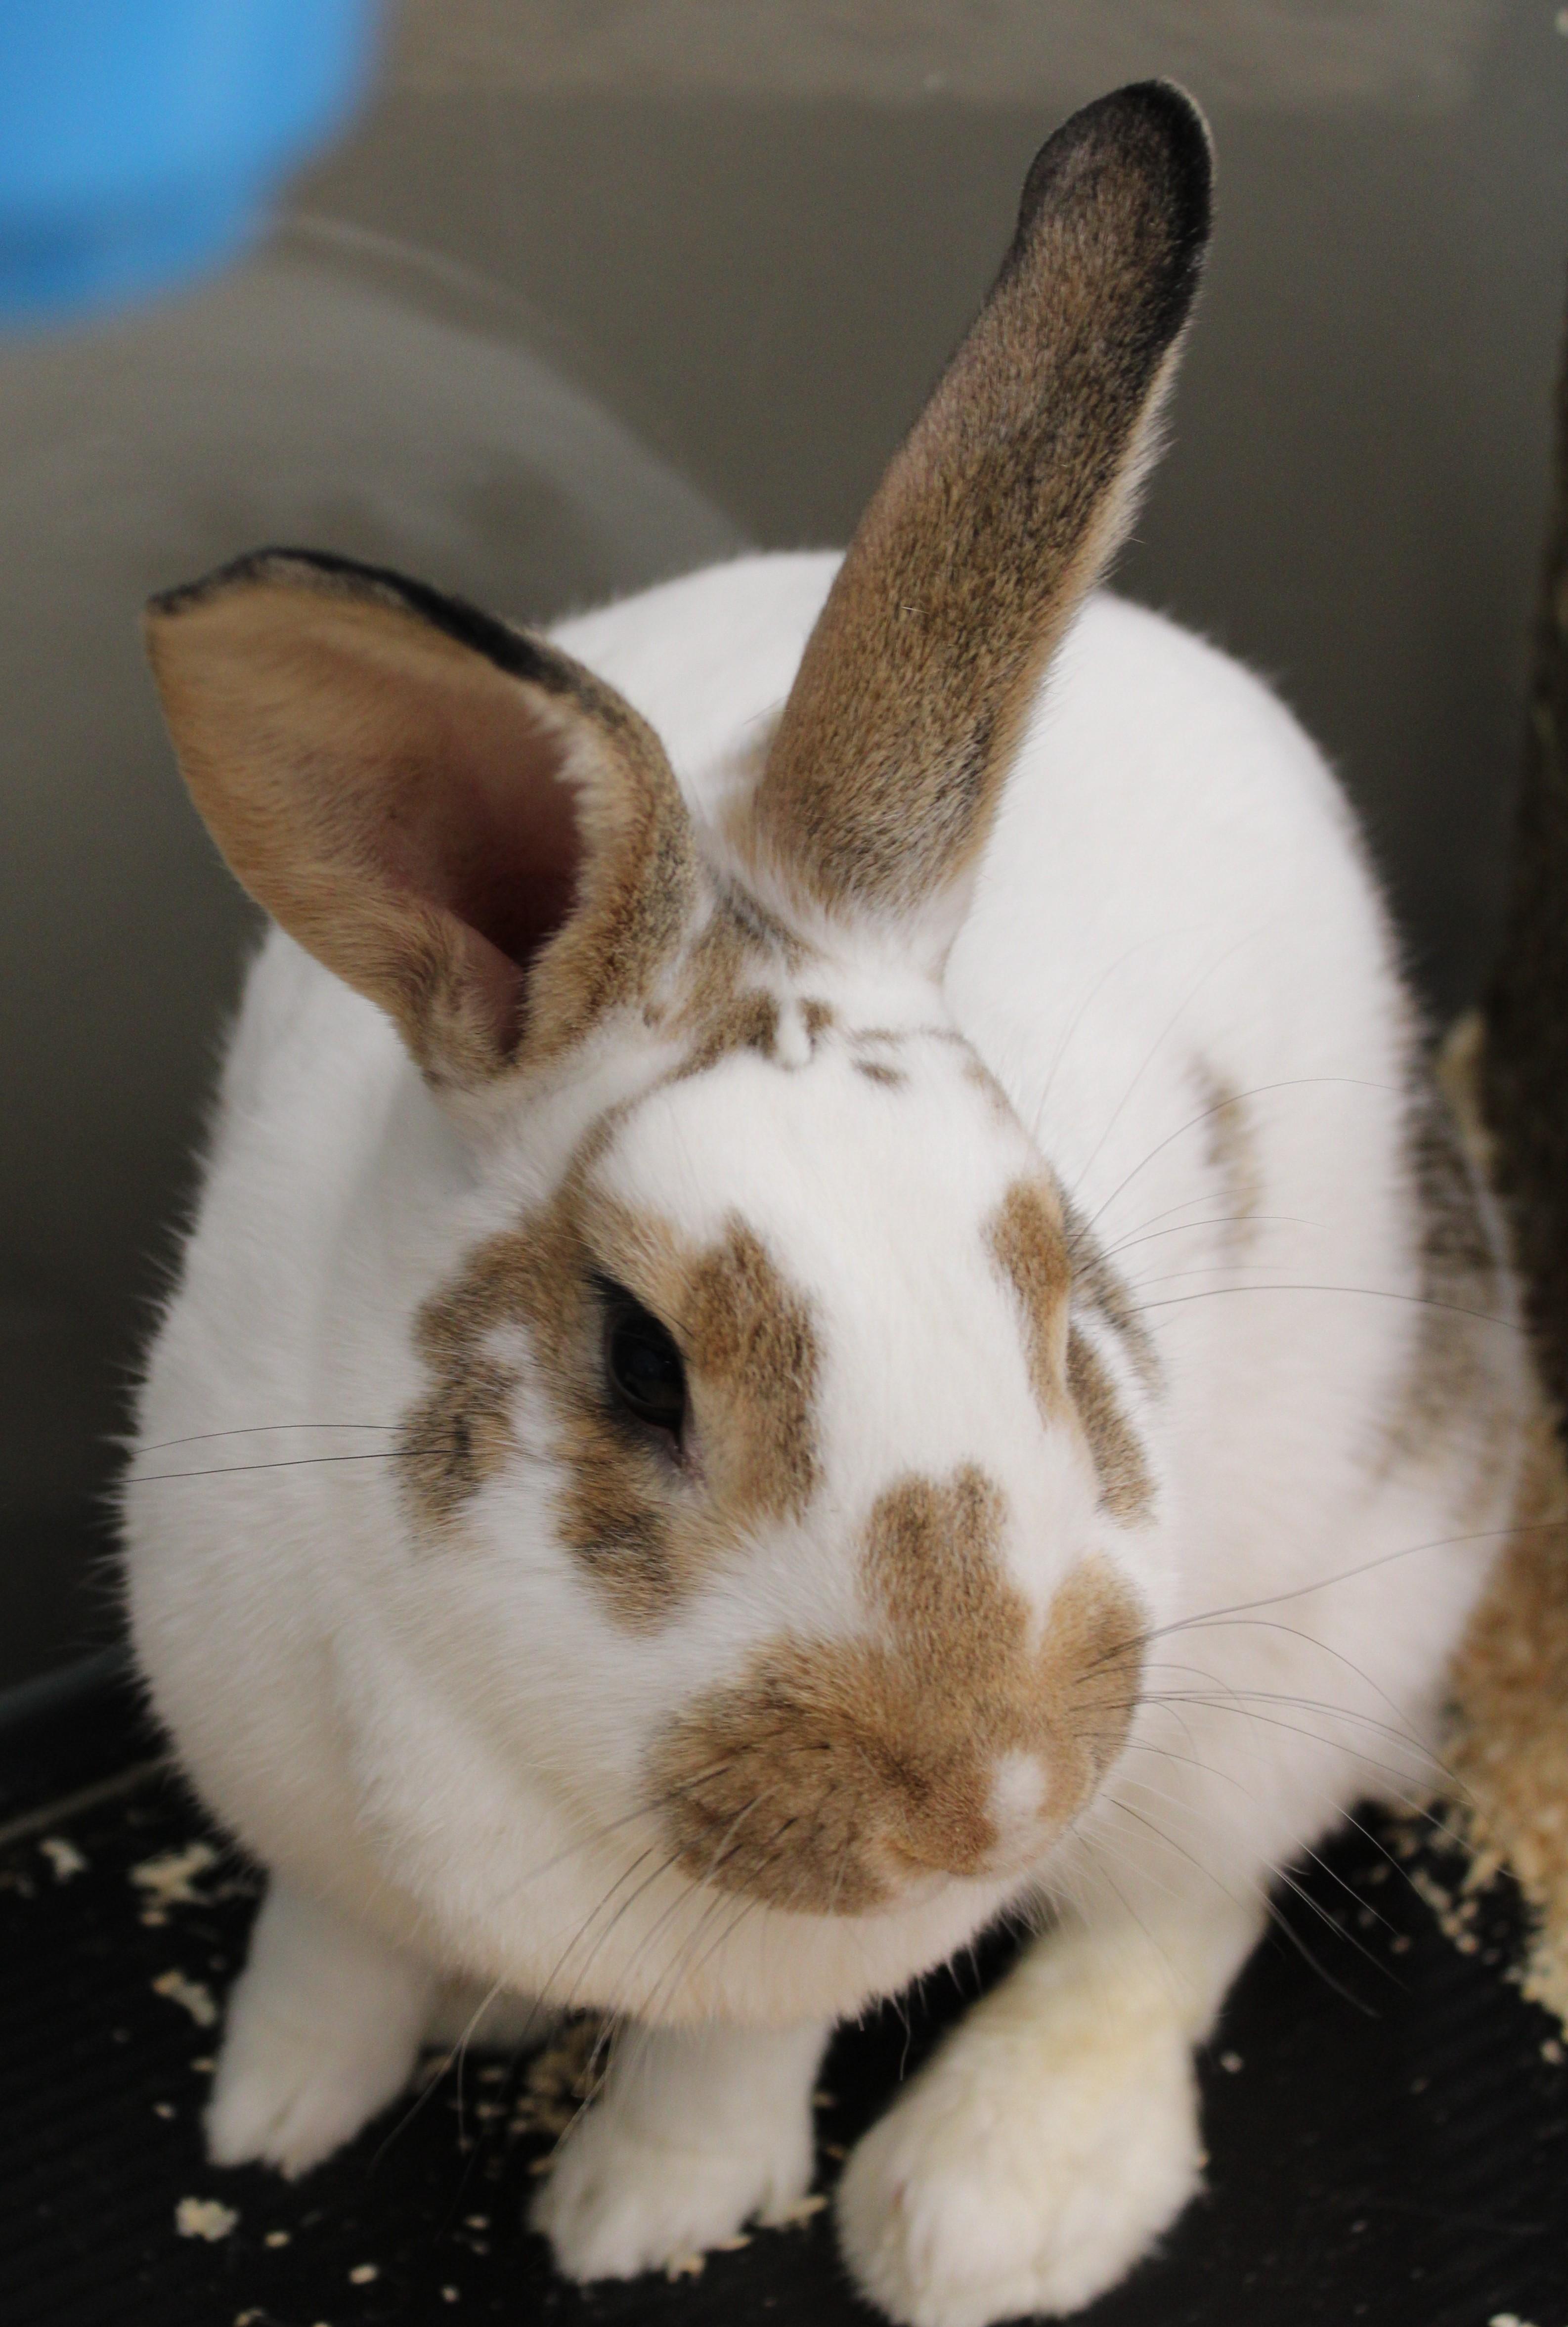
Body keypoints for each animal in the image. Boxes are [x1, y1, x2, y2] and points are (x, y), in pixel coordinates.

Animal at [121, 80, 1535, 2327]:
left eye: (1069, 1314)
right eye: (639, 1361)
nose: (992, 1797)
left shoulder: (826, 1950)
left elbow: (743, 2048)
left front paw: (644, 2207)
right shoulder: (288, 1794)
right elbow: (322, 1943)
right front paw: (276, 2107)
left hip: (1325, 1627)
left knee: (1182, 1906)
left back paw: (983, 2202)